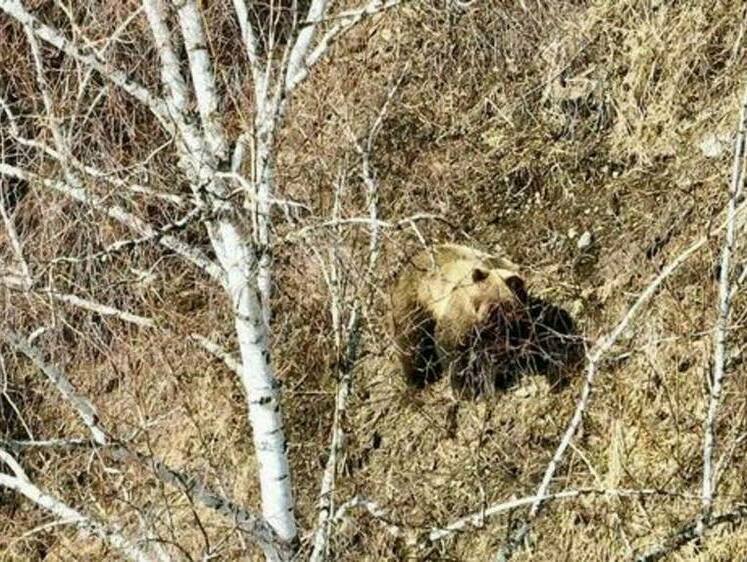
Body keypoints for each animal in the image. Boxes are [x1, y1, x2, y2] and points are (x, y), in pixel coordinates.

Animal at [390, 243, 532, 398]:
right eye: (477, 302)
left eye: (496, 306)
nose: (482, 321)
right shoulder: (460, 311)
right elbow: (453, 347)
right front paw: (465, 389)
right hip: (415, 302)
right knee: (411, 340)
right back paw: (416, 380)